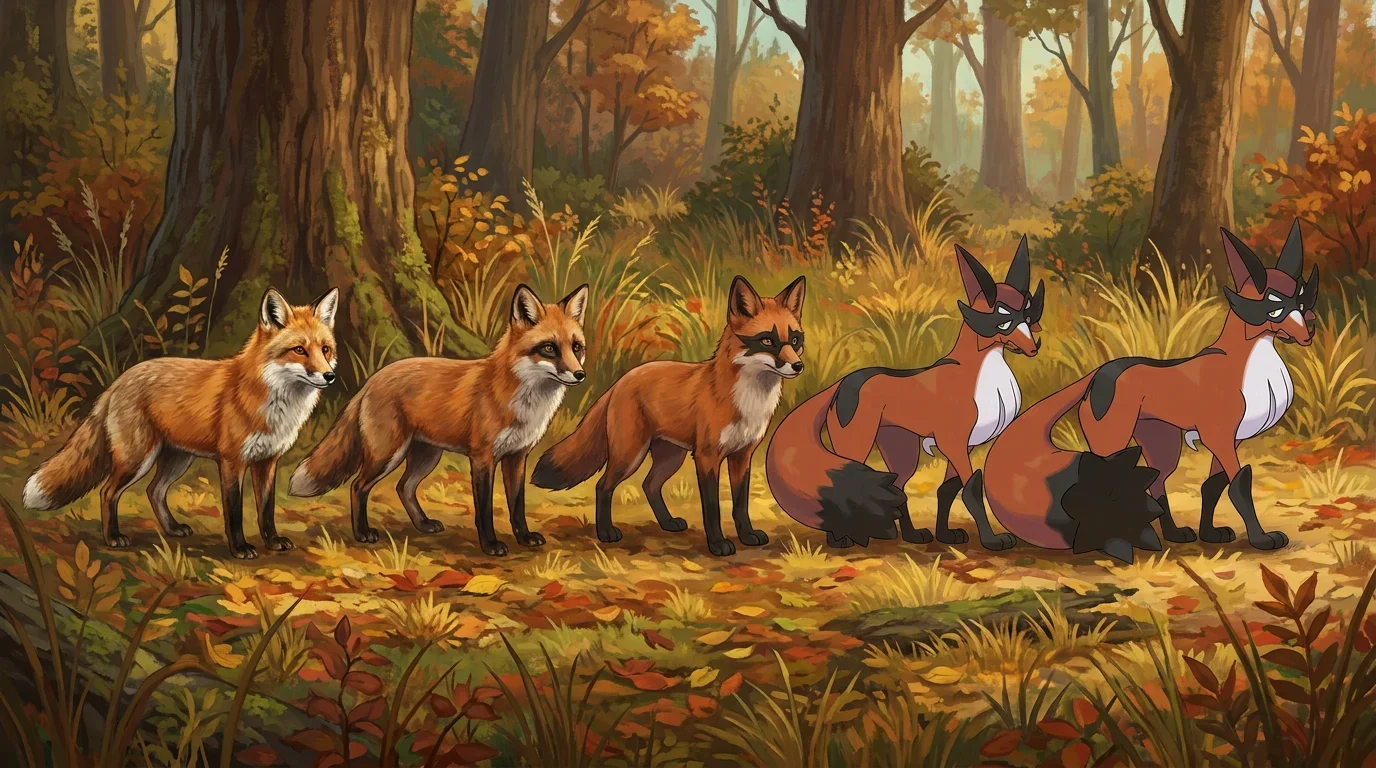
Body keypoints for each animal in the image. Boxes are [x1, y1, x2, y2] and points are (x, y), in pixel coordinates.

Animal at [23, 287, 340, 559]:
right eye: (299, 350)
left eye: (325, 349)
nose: (329, 376)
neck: (272, 400)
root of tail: (119, 380)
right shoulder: (232, 460)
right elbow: (234, 511)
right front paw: (239, 548)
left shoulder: (268, 460)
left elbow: (267, 509)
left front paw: (272, 542)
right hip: (138, 459)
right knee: (107, 491)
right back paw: (113, 537)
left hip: (177, 459)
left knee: (154, 491)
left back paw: (172, 529)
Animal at [289, 284, 589, 556]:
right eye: (549, 348)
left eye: (576, 347)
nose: (580, 375)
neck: (522, 400)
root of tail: (373, 379)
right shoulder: (482, 458)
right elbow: (484, 509)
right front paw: (490, 545)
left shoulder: (517, 456)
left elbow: (517, 505)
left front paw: (524, 538)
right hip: (387, 454)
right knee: (357, 487)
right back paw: (363, 533)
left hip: (426, 456)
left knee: (403, 487)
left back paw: (422, 524)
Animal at [532, 276, 806, 556]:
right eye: (768, 341)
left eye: (795, 340)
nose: (798, 366)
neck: (748, 401)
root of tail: (621, 381)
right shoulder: (707, 457)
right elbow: (712, 509)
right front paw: (717, 544)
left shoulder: (742, 456)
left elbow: (740, 505)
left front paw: (747, 535)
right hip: (630, 455)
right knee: (603, 485)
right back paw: (606, 532)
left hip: (670, 458)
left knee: (649, 485)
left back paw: (667, 522)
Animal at [766, 239, 1045, 551]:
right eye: (1003, 321)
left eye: (1029, 317)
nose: (1032, 349)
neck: (977, 374)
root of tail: (841, 383)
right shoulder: (953, 443)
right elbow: (971, 489)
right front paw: (992, 541)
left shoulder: (966, 446)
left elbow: (947, 489)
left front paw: (945, 535)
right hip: (856, 444)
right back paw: (841, 540)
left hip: (902, 449)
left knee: (897, 487)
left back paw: (911, 535)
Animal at [982, 222, 1316, 563]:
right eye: (1274, 309)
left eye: (1301, 304)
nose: (1308, 334)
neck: (1245, 364)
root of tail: (1099, 373)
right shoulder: (1219, 436)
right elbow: (1238, 485)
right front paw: (1261, 539)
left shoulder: (1230, 440)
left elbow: (1212, 485)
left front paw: (1210, 534)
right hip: (1113, 443)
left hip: (1162, 443)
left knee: (1157, 479)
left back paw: (1173, 533)